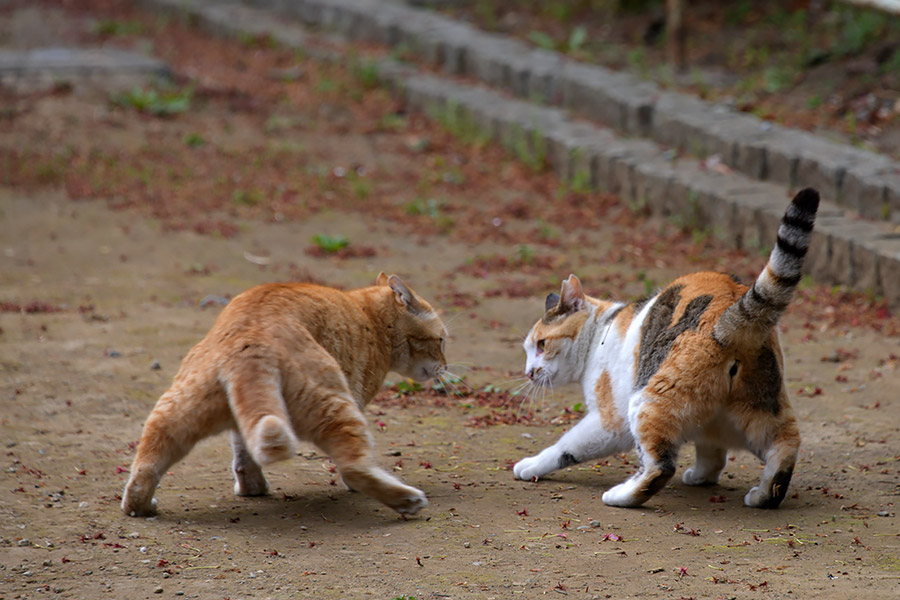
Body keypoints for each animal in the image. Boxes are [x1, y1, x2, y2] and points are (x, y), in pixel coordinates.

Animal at [123, 274, 446, 516]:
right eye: (442, 340)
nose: (445, 365)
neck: (370, 315)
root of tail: (250, 342)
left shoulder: (244, 420)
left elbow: (243, 453)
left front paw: (251, 487)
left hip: (174, 413)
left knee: (147, 463)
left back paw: (140, 506)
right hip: (337, 407)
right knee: (355, 467)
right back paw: (406, 500)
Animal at [512, 190, 816, 508]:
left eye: (541, 345)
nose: (529, 372)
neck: (600, 333)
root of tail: (731, 314)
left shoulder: (609, 422)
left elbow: (565, 447)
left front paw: (531, 465)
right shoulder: (709, 426)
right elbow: (712, 453)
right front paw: (703, 476)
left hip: (646, 400)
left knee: (660, 467)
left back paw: (620, 495)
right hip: (758, 411)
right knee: (786, 443)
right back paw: (763, 496)